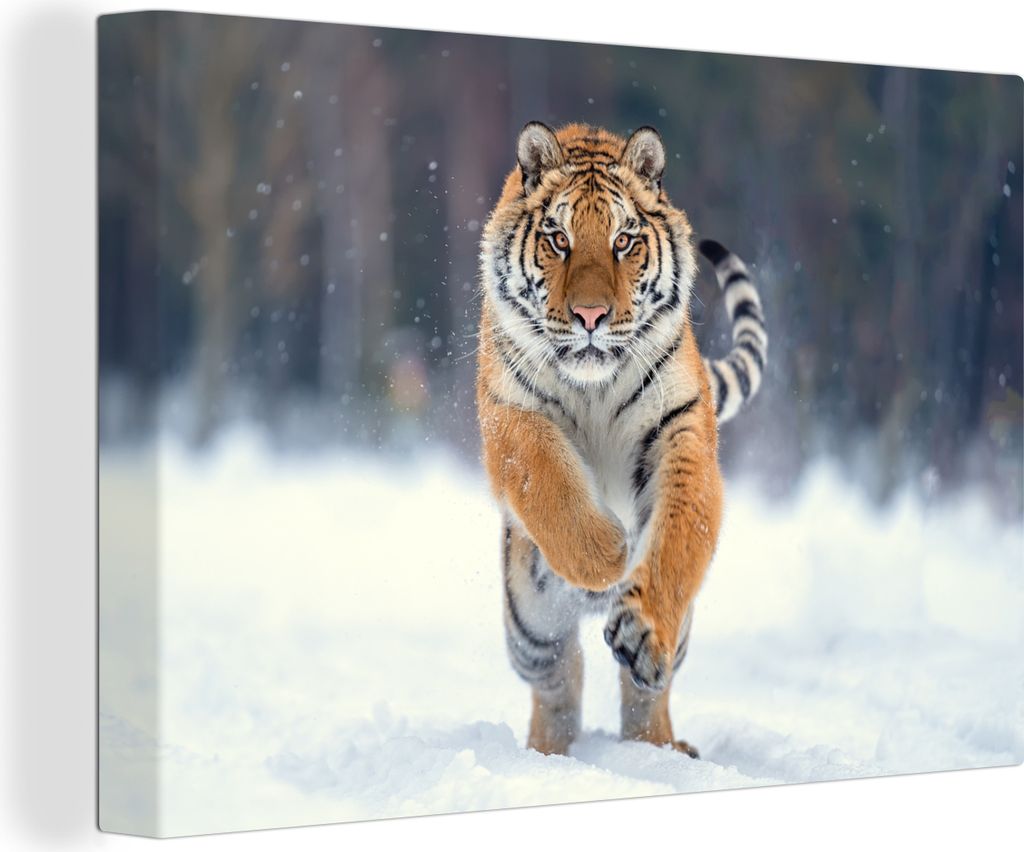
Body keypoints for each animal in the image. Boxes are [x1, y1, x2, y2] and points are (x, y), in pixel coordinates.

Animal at [475, 122, 767, 757]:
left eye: (624, 240)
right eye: (558, 239)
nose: (591, 316)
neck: (596, 386)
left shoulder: (681, 427)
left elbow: (680, 533)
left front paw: (641, 625)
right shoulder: (510, 414)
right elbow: (547, 481)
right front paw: (607, 552)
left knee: (644, 693)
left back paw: (659, 748)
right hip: (529, 626)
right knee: (560, 680)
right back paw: (548, 755)